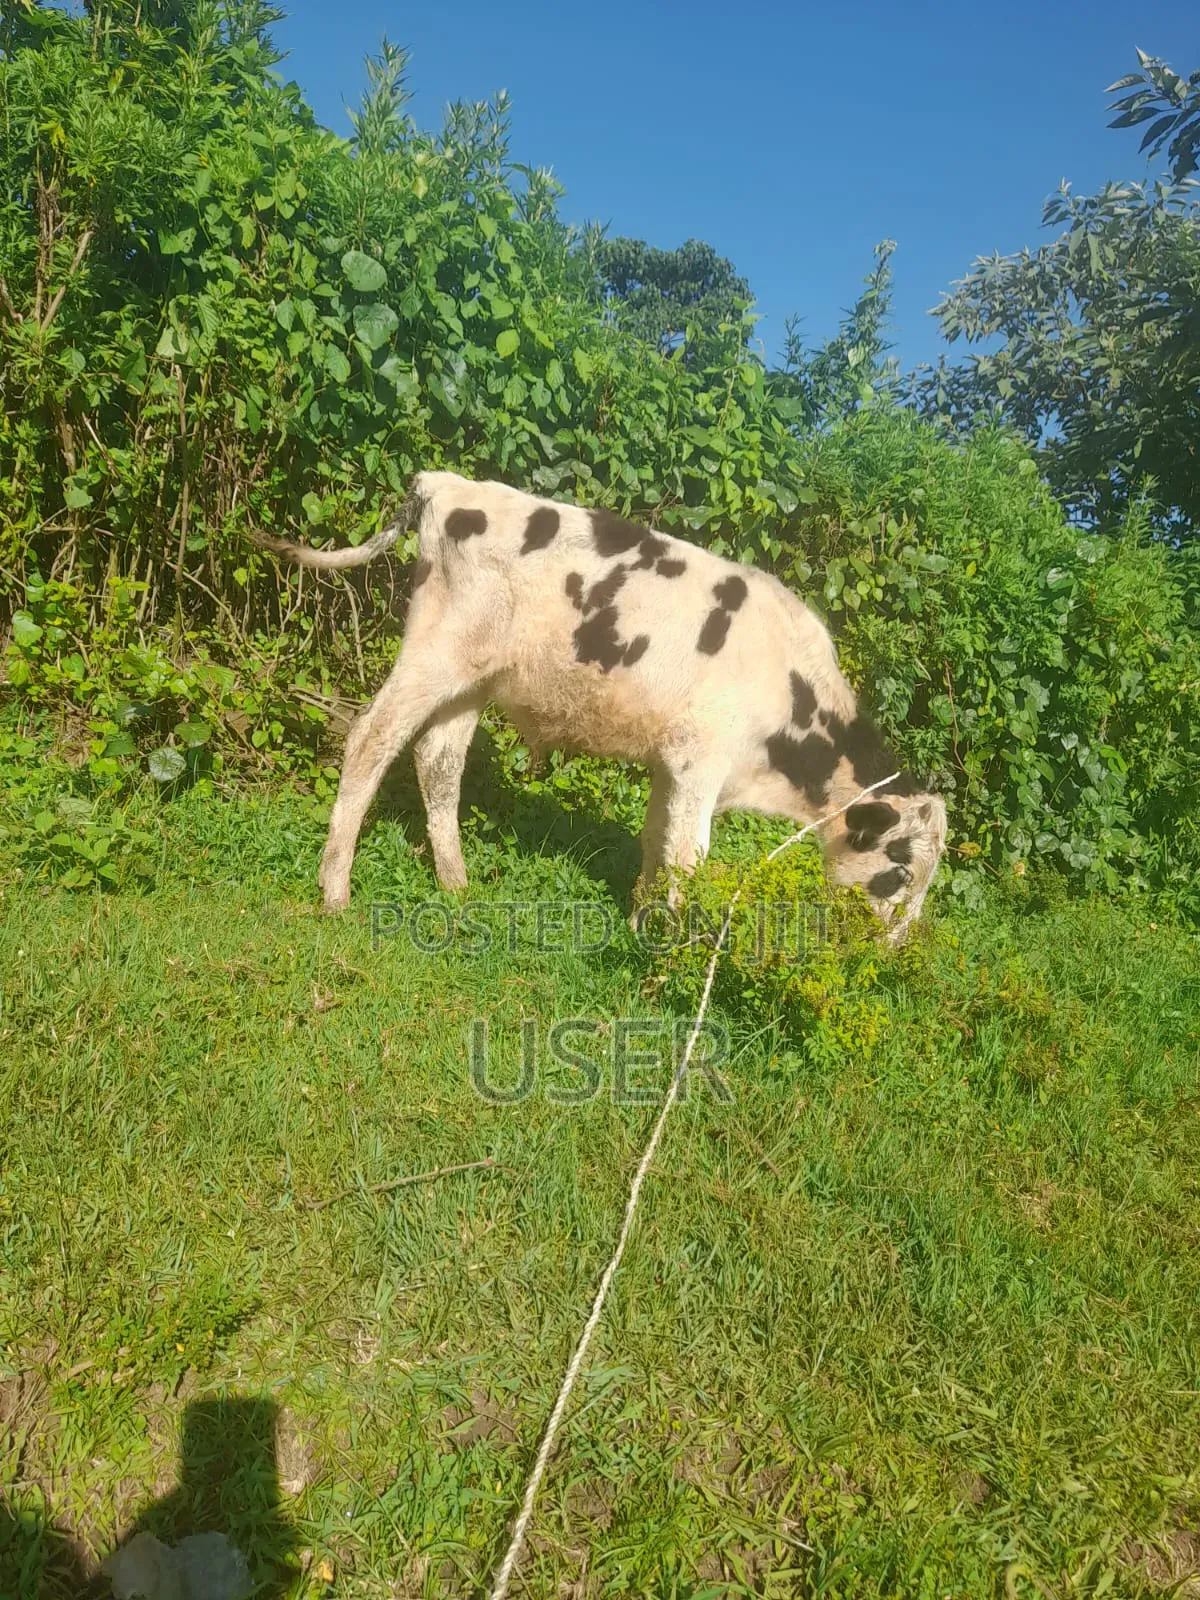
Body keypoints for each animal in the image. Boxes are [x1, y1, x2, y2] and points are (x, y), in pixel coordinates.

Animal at [258, 471, 947, 942]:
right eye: (900, 871)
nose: (893, 950)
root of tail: (446, 484)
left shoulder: (672, 764)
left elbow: (654, 845)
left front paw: (643, 926)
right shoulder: (701, 762)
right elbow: (687, 862)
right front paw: (680, 960)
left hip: (473, 677)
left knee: (439, 760)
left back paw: (455, 883)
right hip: (434, 652)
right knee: (371, 737)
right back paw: (336, 889)